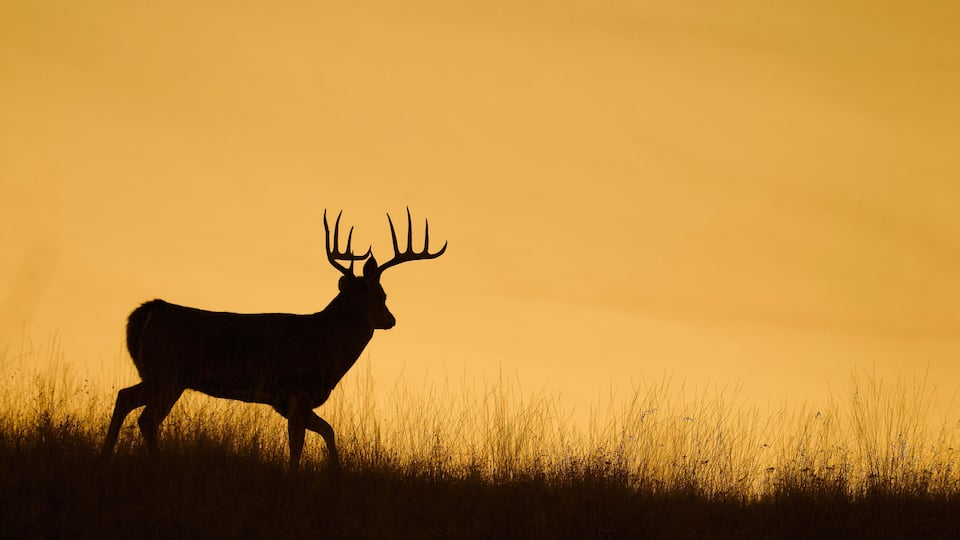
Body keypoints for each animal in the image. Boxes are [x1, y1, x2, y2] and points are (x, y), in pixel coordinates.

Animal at [101, 208, 446, 471]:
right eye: (382, 295)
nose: (391, 320)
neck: (326, 342)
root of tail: (149, 310)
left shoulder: (287, 401)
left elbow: (328, 431)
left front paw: (336, 472)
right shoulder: (296, 391)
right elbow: (298, 443)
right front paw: (296, 476)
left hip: (161, 376)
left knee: (125, 398)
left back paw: (107, 454)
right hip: (168, 374)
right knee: (146, 417)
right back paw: (153, 462)